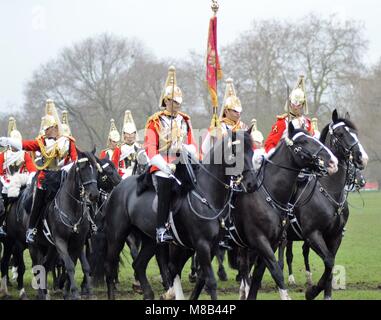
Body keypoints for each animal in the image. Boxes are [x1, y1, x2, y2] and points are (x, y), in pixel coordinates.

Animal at [29, 150, 100, 300]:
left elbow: (75, 265)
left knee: (46, 266)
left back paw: (46, 291)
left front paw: (70, 292)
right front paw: (74, 292)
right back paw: (41, 293)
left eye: (96, 169)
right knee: (38, 267)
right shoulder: (61, 242)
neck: (72, 209)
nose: (94, 195)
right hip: (35, 247)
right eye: (83, 168)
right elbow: (69, 266)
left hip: (50, 248)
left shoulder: (78, 243)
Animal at [104, 131, 255, 300]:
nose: (252, 184)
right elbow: (210, 281)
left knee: (138, 264)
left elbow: (202, 278)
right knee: (110, 269)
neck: (207, 194)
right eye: (237, 152)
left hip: (151, 240)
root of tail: (117, 188)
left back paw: (149, 294)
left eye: (252, 151)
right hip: (117, 236)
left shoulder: (212, 245)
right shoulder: (201, 245)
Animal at [227, 122, 336, 300]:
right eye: (303, 142)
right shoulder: (261, 240)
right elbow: (276, 271)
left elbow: (259, 275)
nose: (333, 162)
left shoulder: (272, 242)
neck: (269, 194)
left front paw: (312, 290)